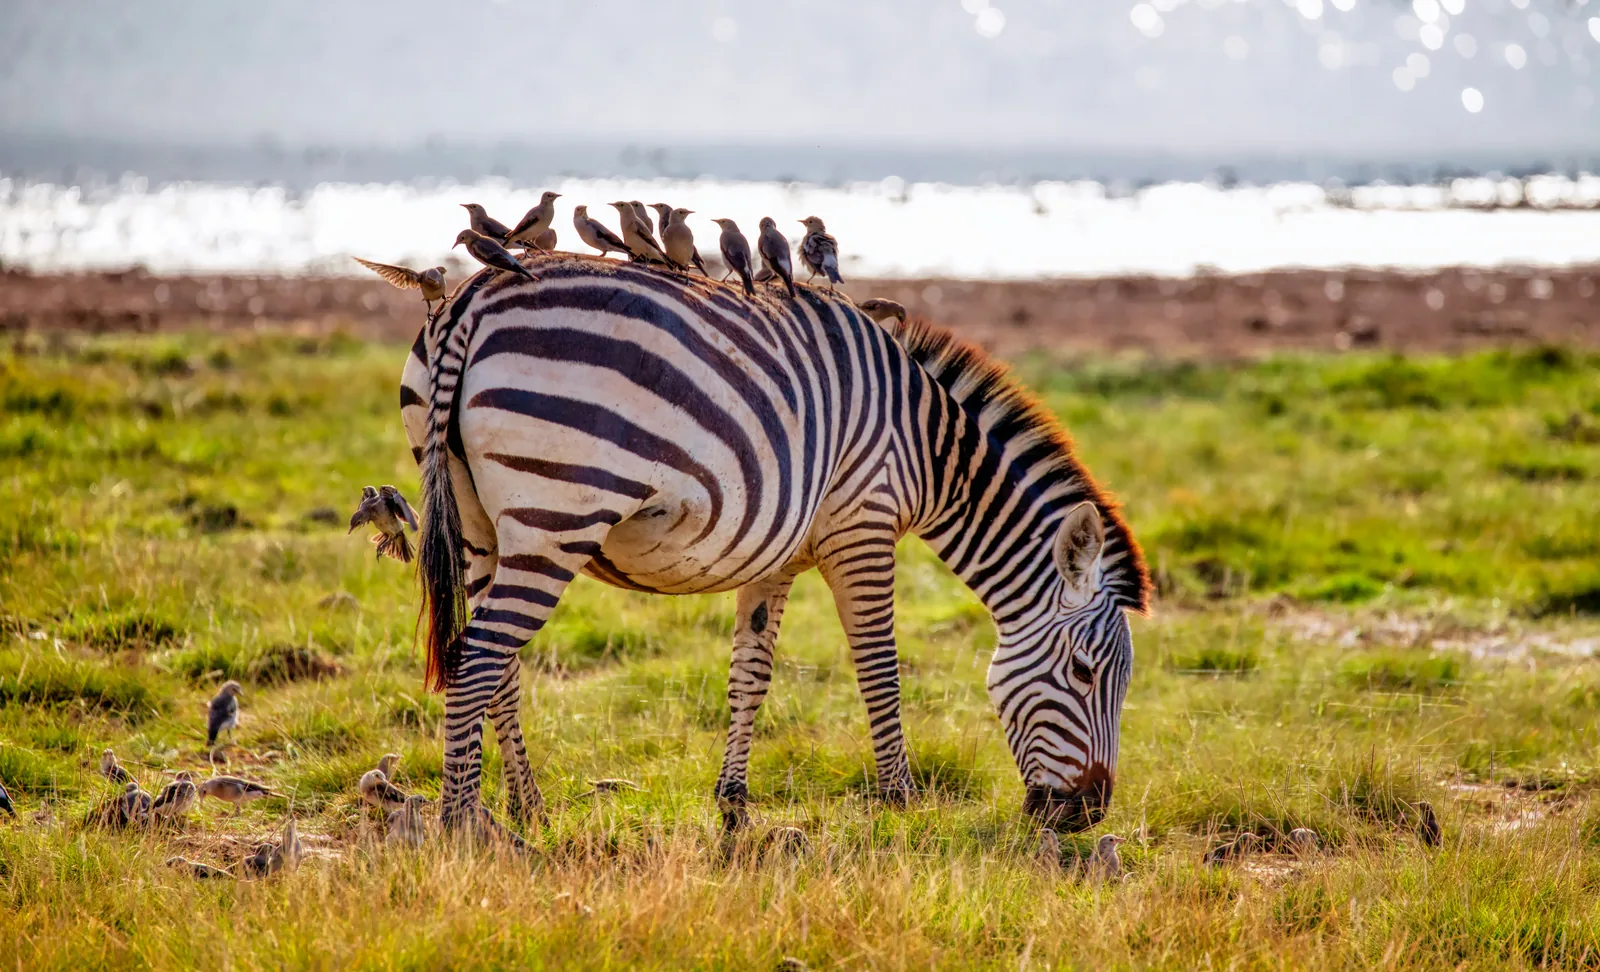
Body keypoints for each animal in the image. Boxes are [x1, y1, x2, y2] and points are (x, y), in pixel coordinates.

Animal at [397, 253, 1150, 838]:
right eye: (1085, 673)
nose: (1086, 816)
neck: (926, 445)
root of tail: (473, 295)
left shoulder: (779, 554)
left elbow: (750, 674)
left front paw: (732, 806)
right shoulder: (863, 525)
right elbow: (879, 666)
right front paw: (901, 802)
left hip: (479, 527)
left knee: (497, 663)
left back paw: (527, 809)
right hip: (555, 515)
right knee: (479, 656)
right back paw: (460, 825)